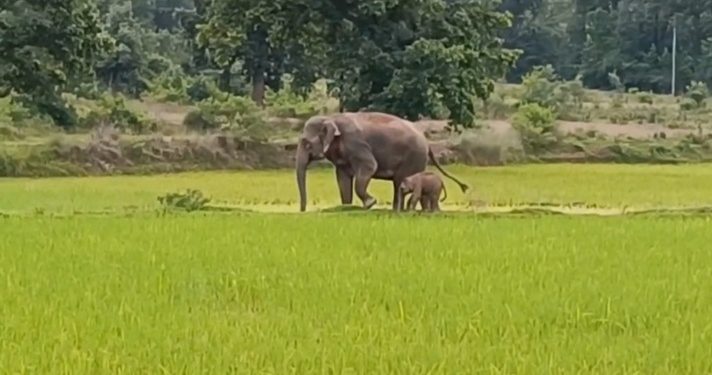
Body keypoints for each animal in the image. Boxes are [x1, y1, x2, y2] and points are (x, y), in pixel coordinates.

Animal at [294, 111, 468, 212]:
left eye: (307, 144)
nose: (302, 210)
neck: (331, 118)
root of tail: (427, 141)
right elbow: (343, 178)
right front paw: (346, 207)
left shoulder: (356, 144)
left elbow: (370, 167)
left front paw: (370, 203)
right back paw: (399, 211)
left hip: (414, 158)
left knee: (400, 181)